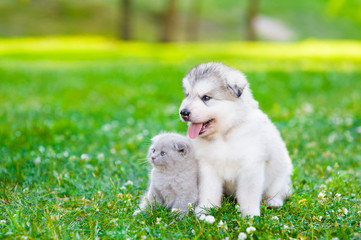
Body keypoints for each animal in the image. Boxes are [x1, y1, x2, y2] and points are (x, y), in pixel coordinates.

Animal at [179, 62, 292, 217]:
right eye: (187, 95)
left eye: (206, 98)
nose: (183, 113)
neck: (224, 134)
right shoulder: (207, 166)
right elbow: (209, 189)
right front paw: (206, 208)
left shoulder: (250, 166)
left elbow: (248, 194)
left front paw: (249, 214)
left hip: (280, 175)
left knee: (278, 192)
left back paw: (273, 202)